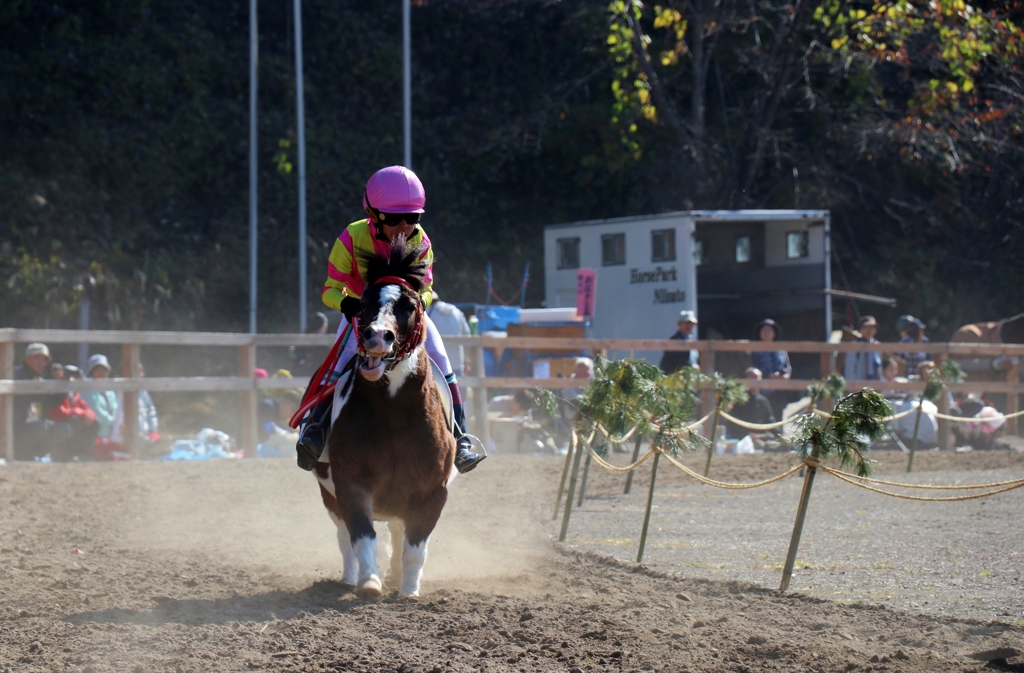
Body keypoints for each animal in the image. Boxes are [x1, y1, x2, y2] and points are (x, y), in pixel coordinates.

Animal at [311, 241, 456, 598]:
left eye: (411, 305)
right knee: (345, 539)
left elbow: (414, 548)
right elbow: (362, 537)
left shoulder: (432, 491)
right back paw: (350, 577)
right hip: (329, 494)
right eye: (363, 303)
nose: (377, 335)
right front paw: (369, 582)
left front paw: (409, 591)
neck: (393, 414)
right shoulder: (350, 483)